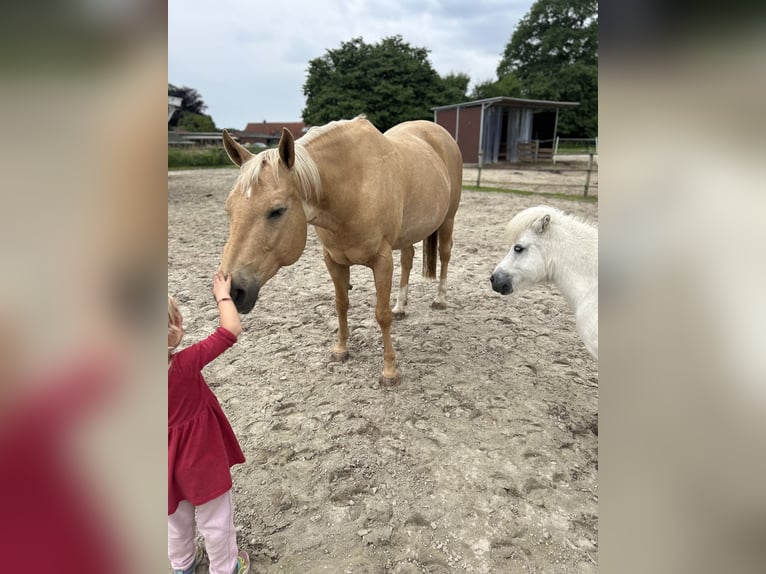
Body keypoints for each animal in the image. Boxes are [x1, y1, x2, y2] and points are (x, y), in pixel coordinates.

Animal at [219, 116, 464, 388]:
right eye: (229, 209)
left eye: (277, 210)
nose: (232, 290)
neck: (352, 187)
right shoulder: (334, 260)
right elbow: (341, 304)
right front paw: (341, 350)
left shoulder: (382, 261)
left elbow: (382, 315)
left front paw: (390, 371)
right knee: (407, 259)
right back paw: (401, 306)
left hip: (448, 219)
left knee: (444, 255)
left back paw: (440, 299)